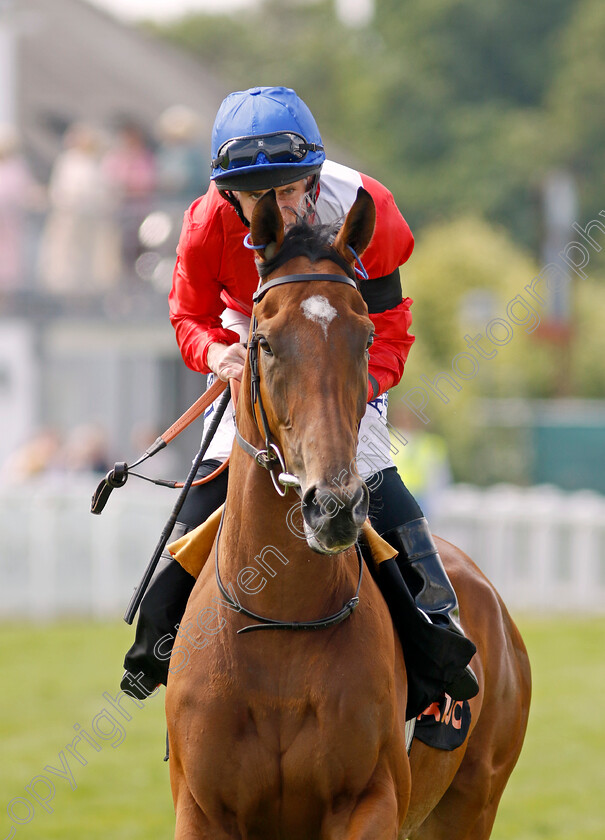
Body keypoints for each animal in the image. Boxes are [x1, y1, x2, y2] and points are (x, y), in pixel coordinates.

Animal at [164, 190, 528, 840]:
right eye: (263, 341)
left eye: (363, 337)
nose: (333, 506)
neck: (279, 624)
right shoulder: (202, 810)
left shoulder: (369, 800)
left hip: (471, 801)